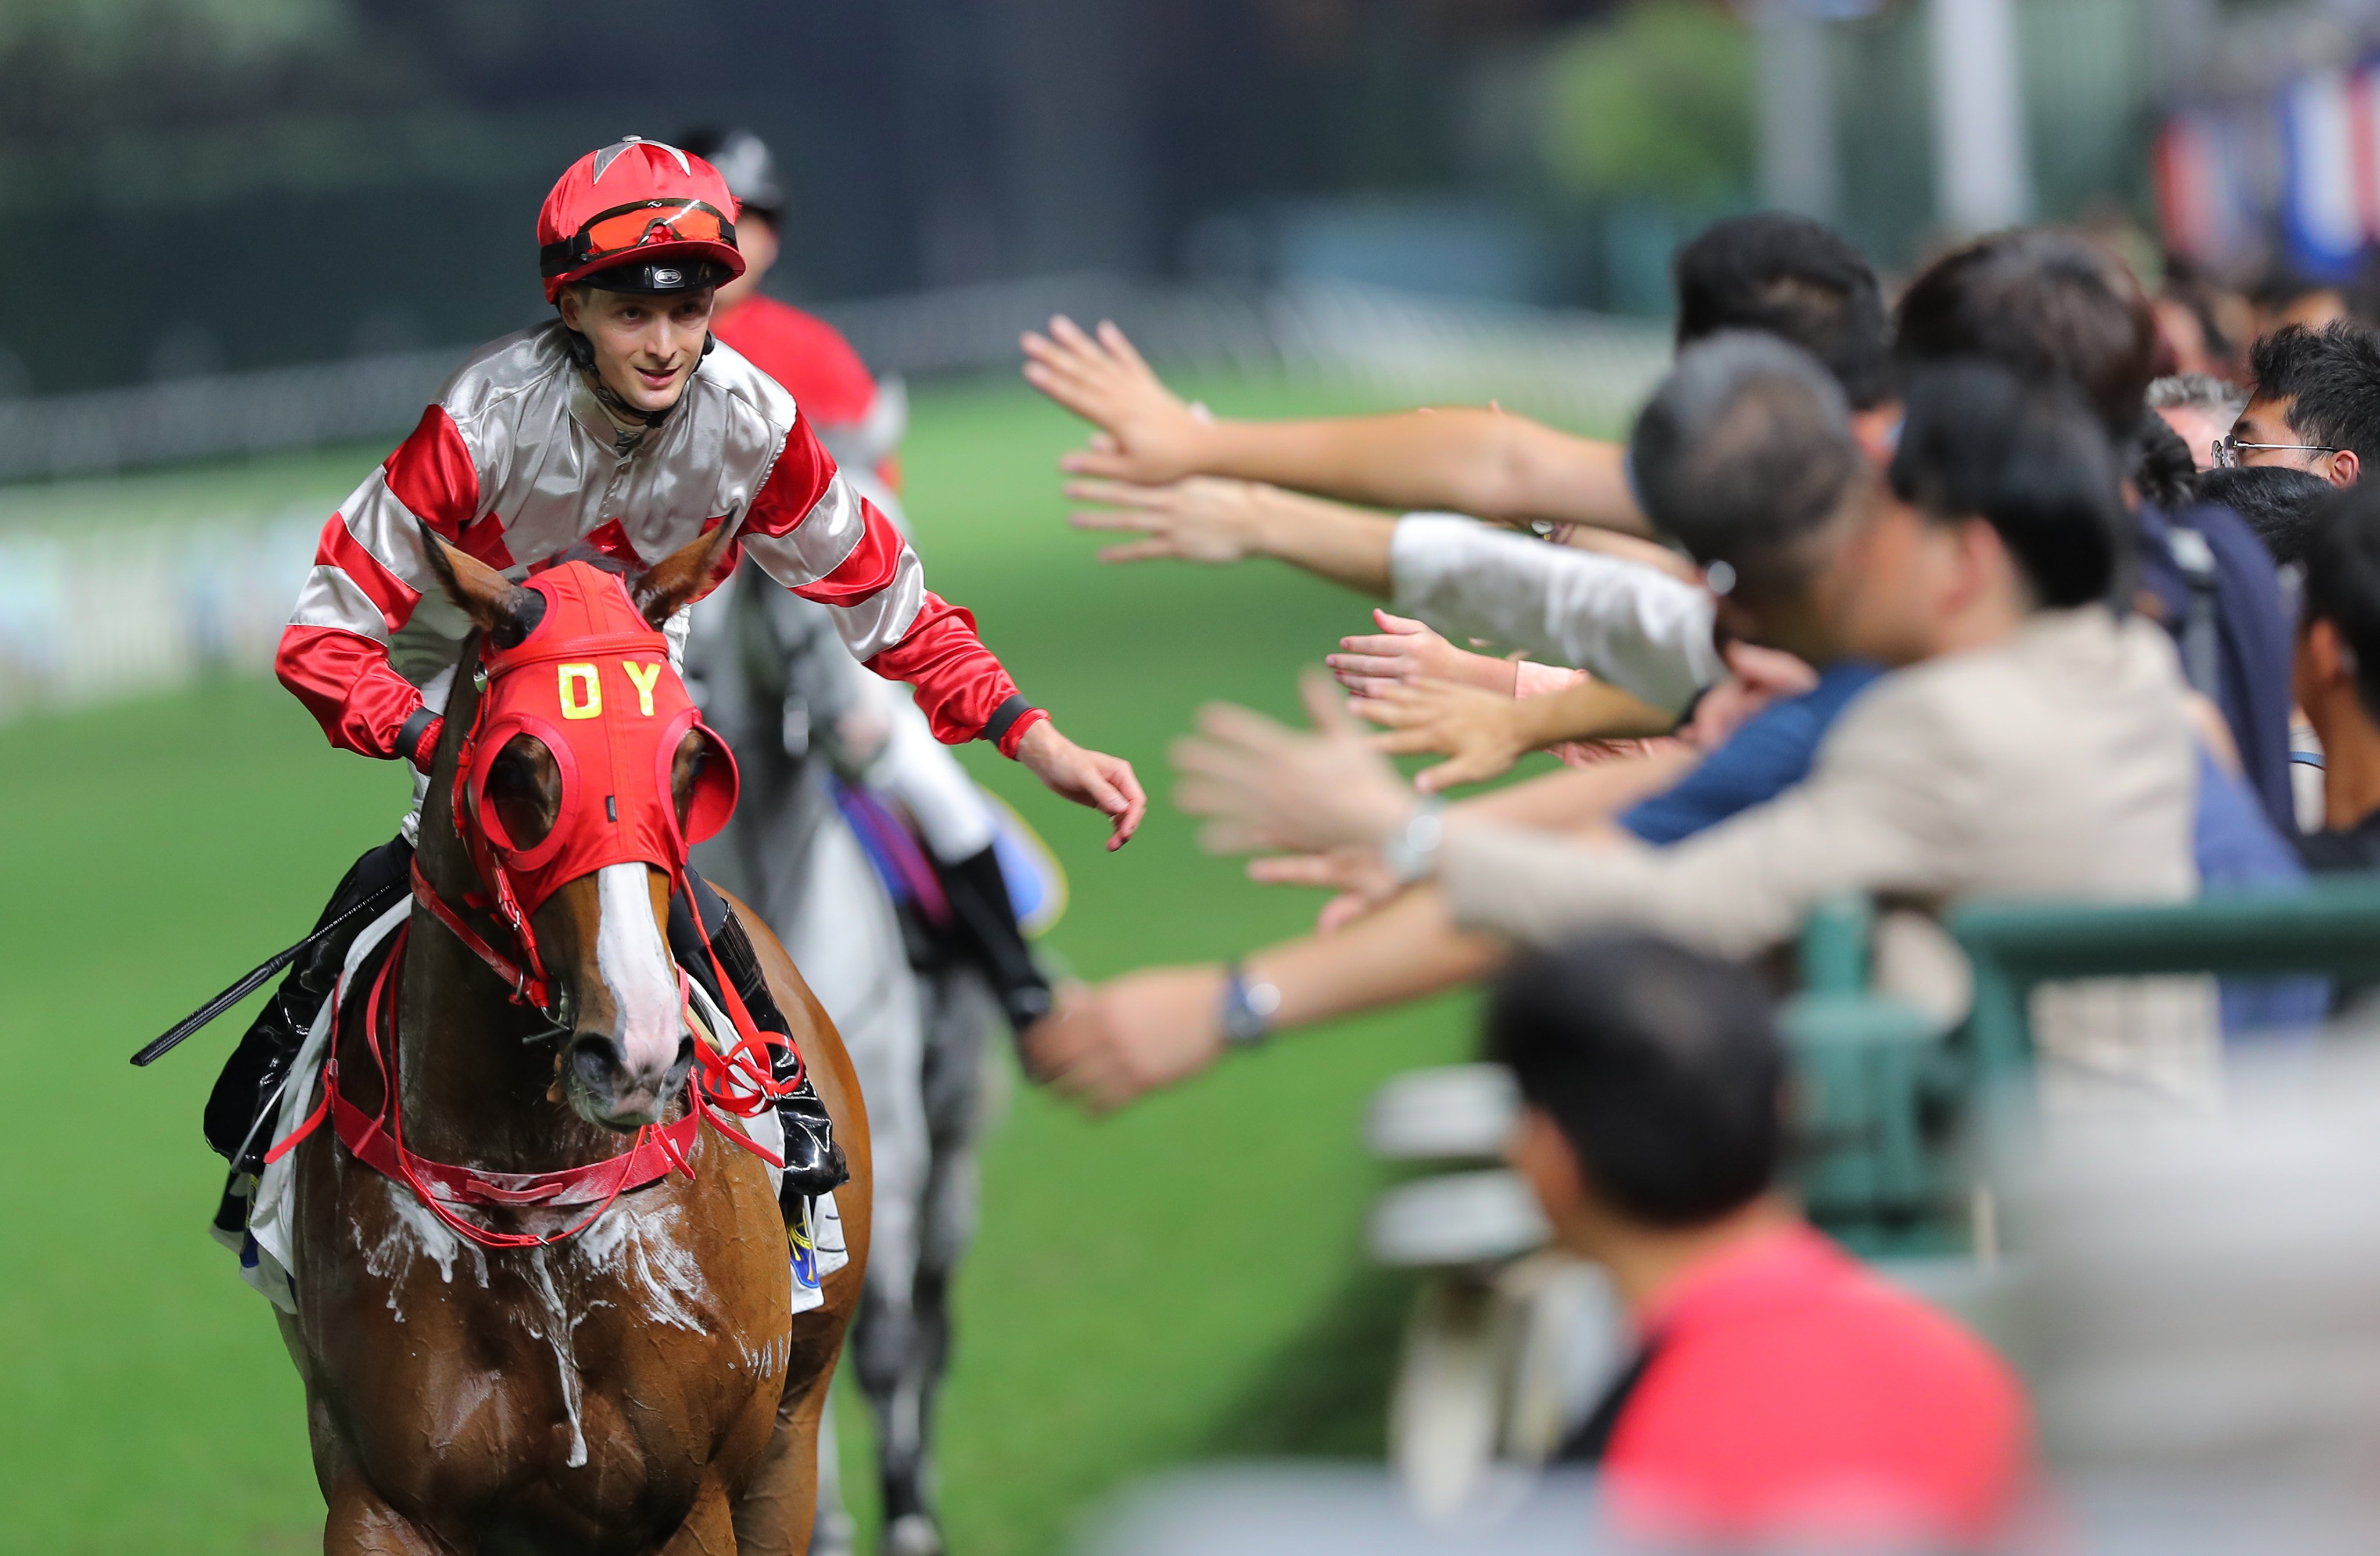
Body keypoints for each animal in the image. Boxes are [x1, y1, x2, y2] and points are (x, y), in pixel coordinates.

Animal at [277, 528, 871, 1556]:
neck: (527, 1189)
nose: (636, 1052)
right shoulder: (380, 1499)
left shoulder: (691, 1500)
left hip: (789, 1441)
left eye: (688, 764)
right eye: (517, 770)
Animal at [695, 561, 1014, 1556]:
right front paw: (825, 1524)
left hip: (950, 1160)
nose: (869, 736)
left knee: (928, 1330)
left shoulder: (893, 1161)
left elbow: (881, 1349)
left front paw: (906, 1516)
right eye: (774, 597)